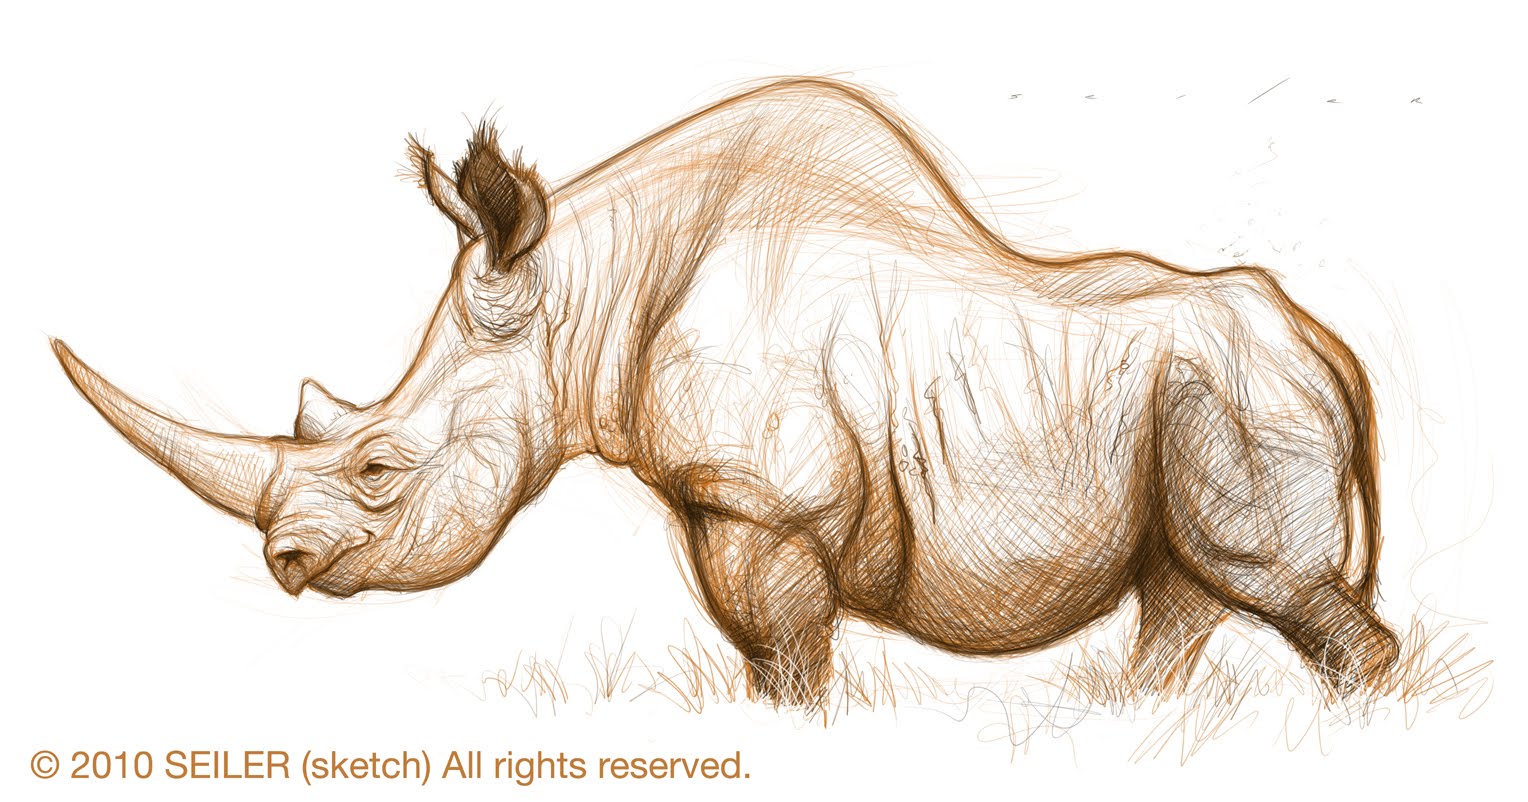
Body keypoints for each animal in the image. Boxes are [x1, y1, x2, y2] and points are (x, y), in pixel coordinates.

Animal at [53, 77, 1398, 704]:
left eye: (377, 467)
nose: (281, 563)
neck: (579, 298)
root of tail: (1331, 350)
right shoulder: (739, 507)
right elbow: (767, 664)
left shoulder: (766, 505)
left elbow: (790, 660)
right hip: (1213, 393)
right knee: (1185, 599)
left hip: (1244, 394)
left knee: (1270, 583)